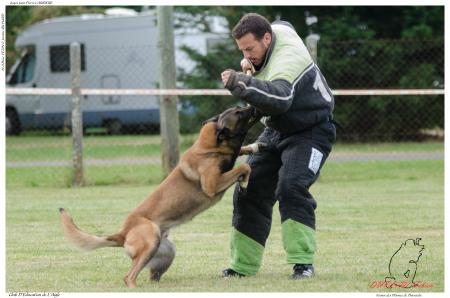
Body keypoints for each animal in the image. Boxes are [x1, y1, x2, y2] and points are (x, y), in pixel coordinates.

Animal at [60, 105, 264, 288]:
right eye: (238, 112)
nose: (254, 107)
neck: (211, 146)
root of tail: (123, 233)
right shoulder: (212, 185)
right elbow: (244, 167)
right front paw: (244, 180)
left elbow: (242, 156)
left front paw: (254, 148)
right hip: (150, 242)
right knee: (128, 277)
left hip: (165, 252)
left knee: (151, 277)